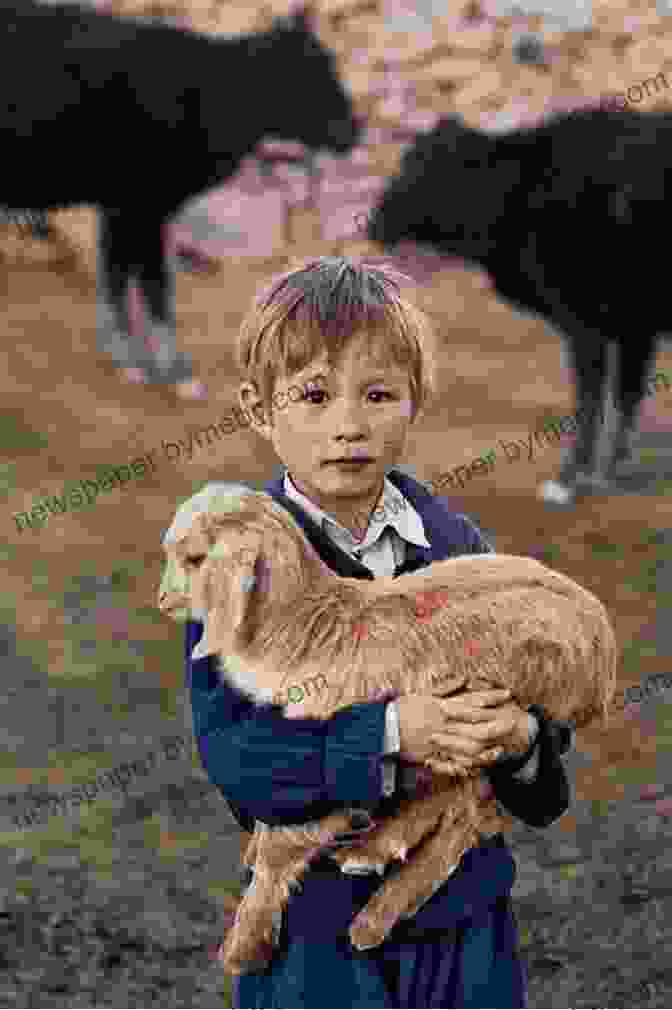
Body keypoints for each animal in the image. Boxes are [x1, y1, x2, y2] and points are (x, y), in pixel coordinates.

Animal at [1, 0, 361, 385]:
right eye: (307, 74)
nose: (354, 130)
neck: (202, 94)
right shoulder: (139, 207)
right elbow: (150, 284)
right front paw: (167, 369)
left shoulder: (121, 209)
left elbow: (120, 277)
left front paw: (129, 356)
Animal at [155, 484, 614, 973]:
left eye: (195, 558)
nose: (162, 600)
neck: (303, 629)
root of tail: (604, 653)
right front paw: (253, 851)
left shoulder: (335, 759)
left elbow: (285, 846)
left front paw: (243, 946)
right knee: (458, 803)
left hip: (506, 705)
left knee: (464, 816)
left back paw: (371, 903)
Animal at [367, 104, 670, 505]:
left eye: (426, 166)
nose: (373, 222)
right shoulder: (634, 329)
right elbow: (625, 397)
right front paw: (613, 470)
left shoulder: (588, 326)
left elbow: (591, 399)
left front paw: (568, 480)